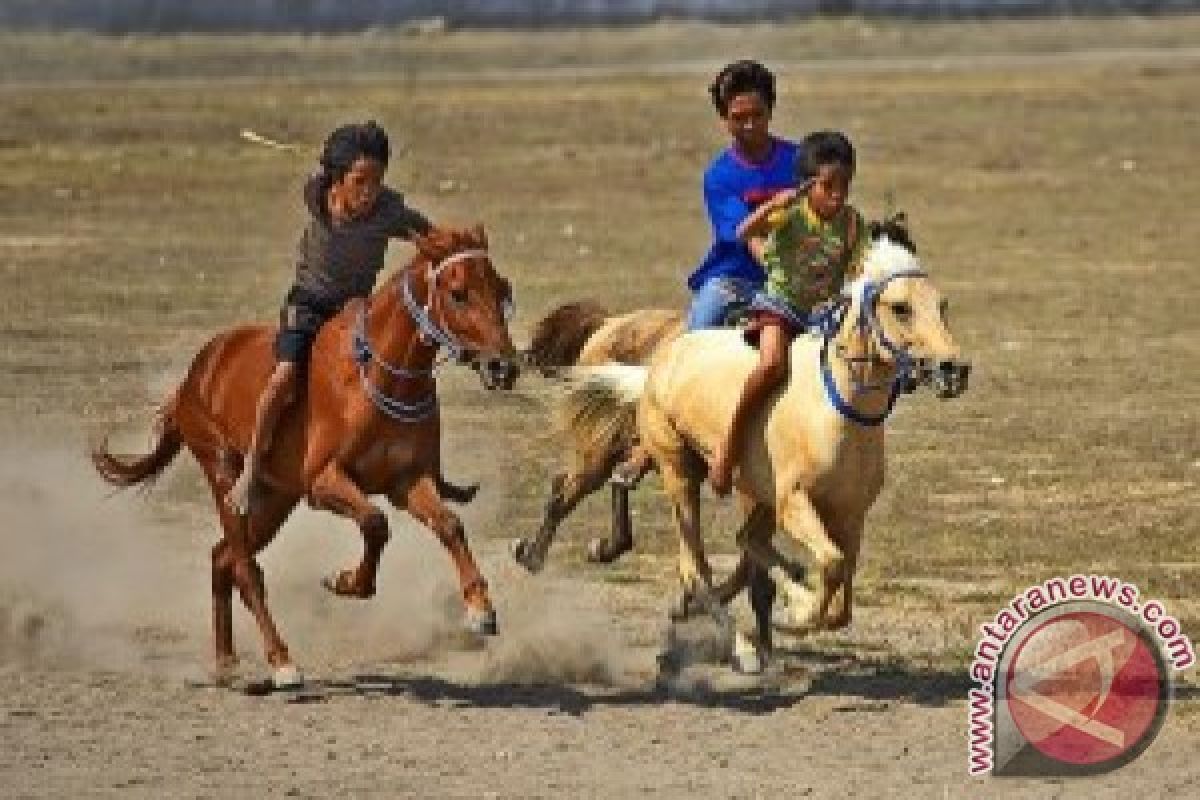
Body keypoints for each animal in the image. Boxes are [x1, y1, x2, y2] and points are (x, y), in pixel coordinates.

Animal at [92, 225, 516, 690]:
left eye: (501, 288)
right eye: (458, 293)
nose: (504, 367)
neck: (377, 375)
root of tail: (195, 375)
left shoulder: (406, 480)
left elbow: (449, 524)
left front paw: (481, 610)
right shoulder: (323, 483)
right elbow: (375, 523)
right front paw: (344, 581)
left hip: (275, 498)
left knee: (221, 558)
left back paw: (226, 663)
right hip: (225, 476)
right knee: (245, 569)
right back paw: (281, 662)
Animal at [559, 235, 964, 671]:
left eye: (942, 305)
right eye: (901, 308)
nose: (954, 370)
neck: (837, 412)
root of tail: (660, 363)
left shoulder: (850, 515)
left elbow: (840, 602)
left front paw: (798, 604)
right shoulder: (793, 503)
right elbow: (830, 566)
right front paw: (796, 615)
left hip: (753, 493)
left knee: (744, 542)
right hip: (680, 472)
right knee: (695, 567)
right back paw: (743, 648)